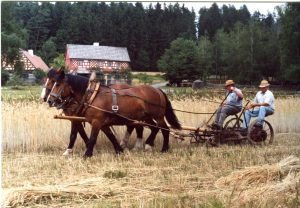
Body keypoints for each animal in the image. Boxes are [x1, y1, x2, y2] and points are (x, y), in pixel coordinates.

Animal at [47, 70, 180, 158]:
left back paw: (164, 148)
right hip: (146, 117)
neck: (92, 96)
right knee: (154, 128)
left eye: (57, 84)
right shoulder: (102, 123)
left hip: (158, 116)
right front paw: (119, 150)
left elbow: (92, 138)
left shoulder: (96, 122)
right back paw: (148, 145)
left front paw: (87, 154)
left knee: (165, 129)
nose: (49, 100)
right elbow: (111, 136)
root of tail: (158, 90)